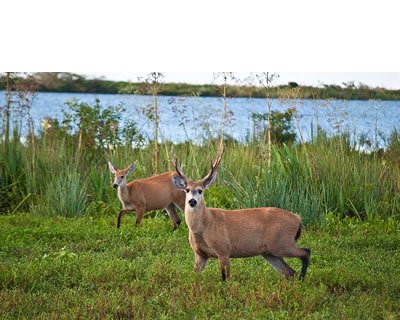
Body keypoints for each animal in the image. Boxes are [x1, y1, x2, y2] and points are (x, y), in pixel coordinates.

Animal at [170, 149, 310, 282]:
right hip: (270, 252)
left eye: (200, 190)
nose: (192, 201)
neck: (204, 226)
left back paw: (302, 280)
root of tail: (297, 218)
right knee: (290, 272)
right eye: (187, 190)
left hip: (281, 242)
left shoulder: (224, 249)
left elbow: (225, 279)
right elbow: (196, 277)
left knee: (305, 253)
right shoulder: (200, 254)